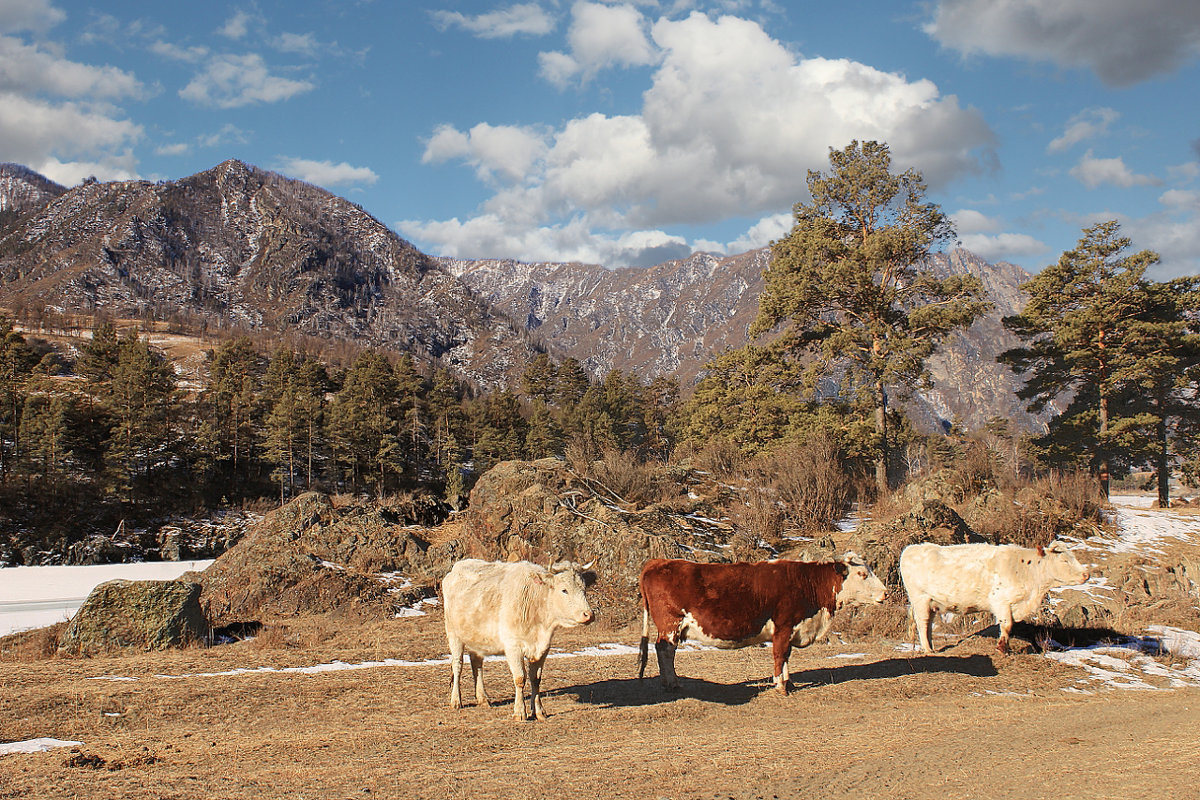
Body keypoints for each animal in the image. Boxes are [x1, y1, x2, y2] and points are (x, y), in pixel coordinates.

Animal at [441, 561, 595, 724]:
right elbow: (520, 678)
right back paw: (456, 701)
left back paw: (483, 698)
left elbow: (536, 679)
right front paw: (520, 712)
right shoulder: (513, 647)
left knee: (476, 664)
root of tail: (456, 567)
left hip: (476, 638)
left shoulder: (543, 649)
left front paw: (539, 711)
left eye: (584, 588)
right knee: (457, 665)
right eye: (564, 590)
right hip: (453, 634)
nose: (588, 615)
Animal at [638, 556, 892, 695]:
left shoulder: (792, 629)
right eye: (862, 574)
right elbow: (780, 655)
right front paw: (780, 686)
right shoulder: (784, 626)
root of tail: (659, 562)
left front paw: (789, 683)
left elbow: (787, 656)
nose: (886, 593)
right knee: (665, 651)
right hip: (670, 624)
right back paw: (672, 683)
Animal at [902, 537, 1094, 657]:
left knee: (928, 625)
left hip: (932, 603)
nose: (1086, 574)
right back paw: (928, 650)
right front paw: (1002, 648)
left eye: (1073, 557)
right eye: (1064, 560)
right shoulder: (1001, 601)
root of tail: (911, 548)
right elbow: (1007, 625)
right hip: (920, 599)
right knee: (922, 623)